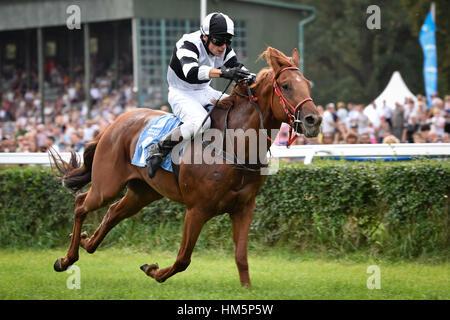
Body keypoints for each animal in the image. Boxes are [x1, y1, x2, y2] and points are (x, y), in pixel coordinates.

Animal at [51, 47, 322, 288]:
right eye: (286, 85)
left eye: (308, 85)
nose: (314, 120)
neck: (234, 145)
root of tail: (113, 124)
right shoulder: (197, 209)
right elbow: (183, 259)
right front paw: (154, 271)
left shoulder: (244, 207)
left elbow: (241, 257)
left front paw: (247, 289)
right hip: (106, 185)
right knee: (81, 204)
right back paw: (66, 259)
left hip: (143, 192)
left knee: (113, 212)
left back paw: (87, 242)